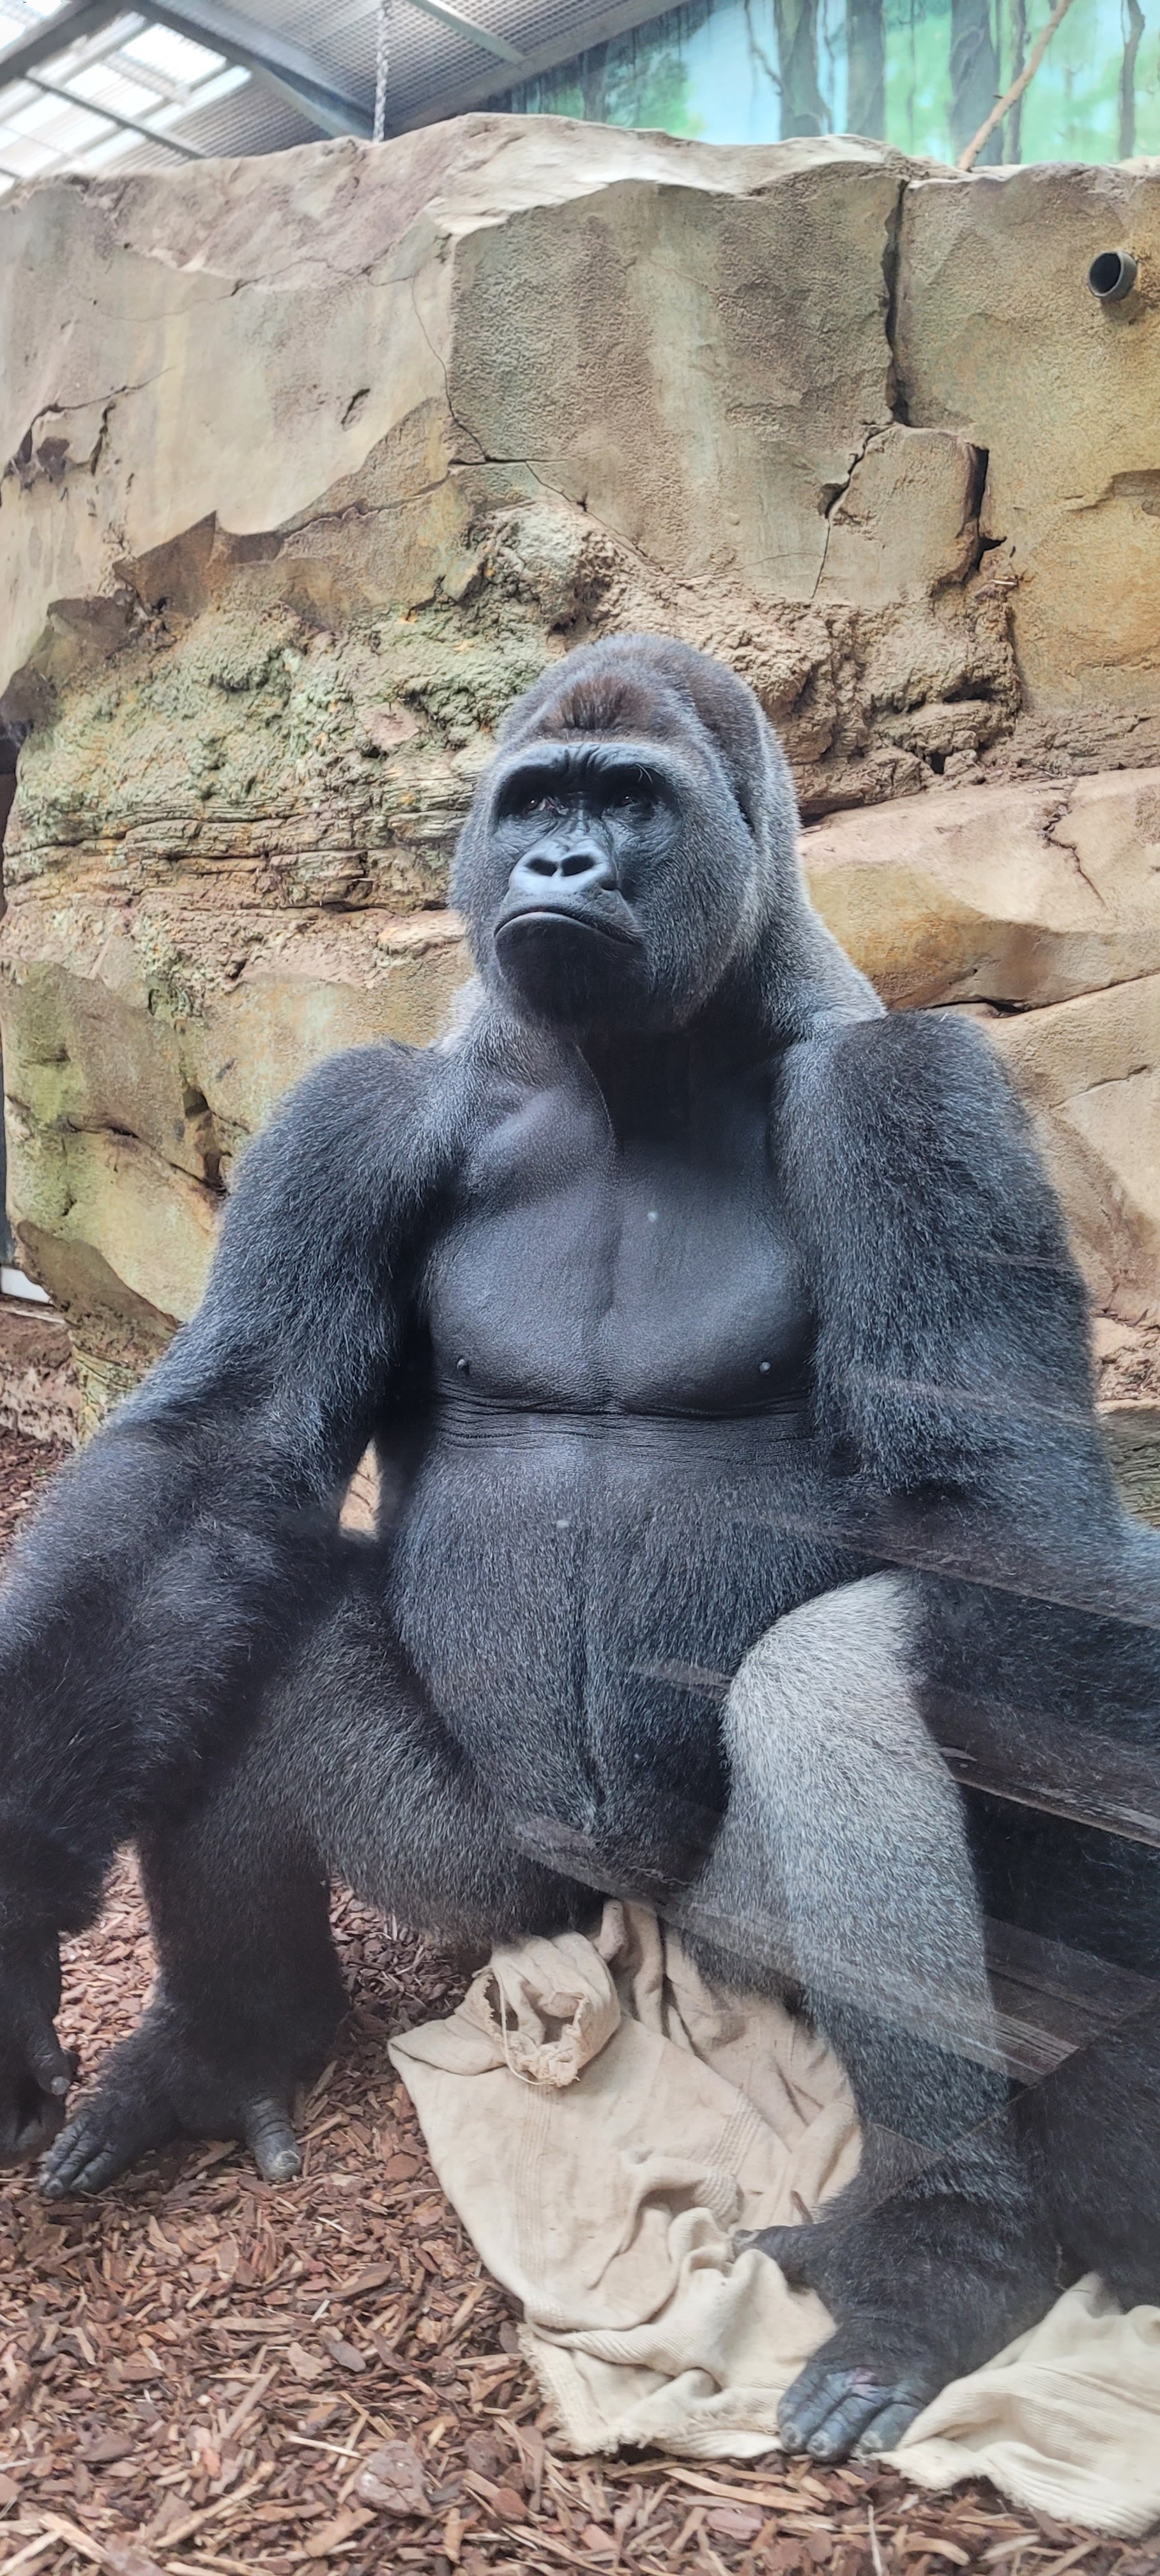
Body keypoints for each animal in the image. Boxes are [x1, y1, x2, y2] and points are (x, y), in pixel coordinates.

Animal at [0, 635, 1157, 2462]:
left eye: (627, 804)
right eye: (537, 801)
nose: (556, 866)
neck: (641, 1058)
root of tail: (626, 1925)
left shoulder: (915, 1091)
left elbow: (1000, 1523)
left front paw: (1103, 2113)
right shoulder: (357, 1112)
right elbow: (227, 1449)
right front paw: (8, 1927)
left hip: (728, 1937)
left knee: (839, 1679)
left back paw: (941, 2241)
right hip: (488, 1878)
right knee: (251, 1592)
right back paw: (235, 2037)